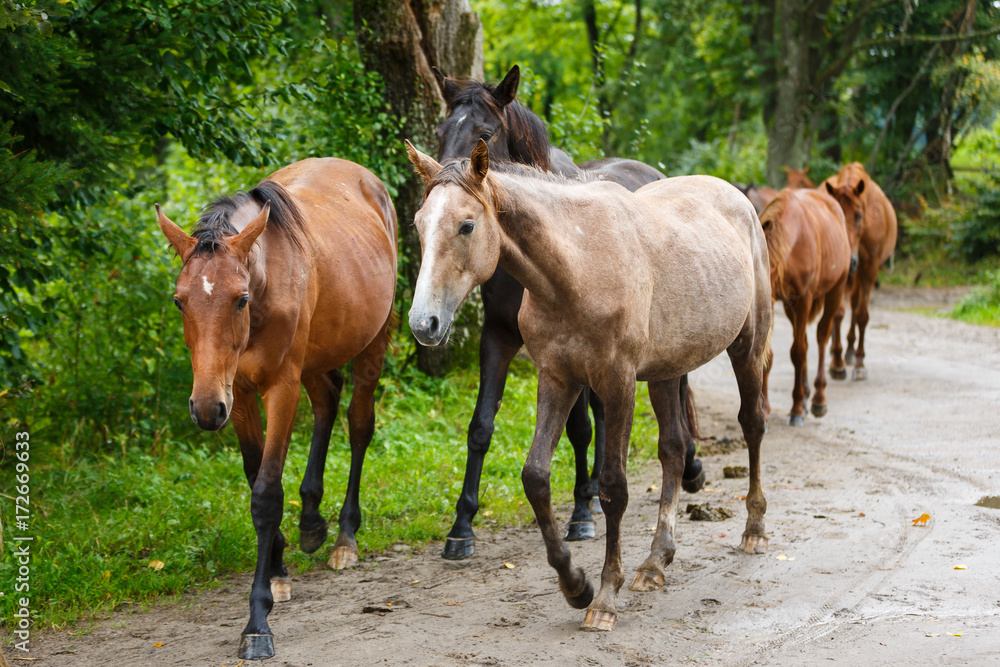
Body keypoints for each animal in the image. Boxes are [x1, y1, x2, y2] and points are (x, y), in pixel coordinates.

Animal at [154, 158, 396, 664]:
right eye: (179, 301)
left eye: (240, 299)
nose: (204, 409)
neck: (265, 286)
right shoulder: (239, 394)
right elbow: (254, 475)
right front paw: (279, 567)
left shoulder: (279, 388)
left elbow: (266, 493)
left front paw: (257, 620)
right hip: (315, 357)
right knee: (326, 400)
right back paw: (311, 522)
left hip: (371, 343)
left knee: (358, 424)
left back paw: (345, 537)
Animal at [402, 140, 768, 632]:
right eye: (420, 224)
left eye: (466, 225)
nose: (424, 324)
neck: (577, 266)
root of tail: (736, 197)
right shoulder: (558, 378)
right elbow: (535, 477)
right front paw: (575, 584)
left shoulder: (617, 383)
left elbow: (613, 487)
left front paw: (605, 597)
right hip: (667, 371)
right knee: (673, 449)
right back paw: (655, 561)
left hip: (747, 347)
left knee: (752, 425)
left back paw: (753, 529)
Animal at [430, 65, 704, 560]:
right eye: (440, 132)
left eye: (485, 134)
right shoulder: (498, 336)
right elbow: (481, 426)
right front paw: (462, 526)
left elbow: (578, 429)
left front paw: (579, 513)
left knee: (676, 385)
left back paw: (686, 466)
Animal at [760, 188, 848, 428]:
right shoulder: (777, 301)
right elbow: (769, 355)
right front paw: (765, 410)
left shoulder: (804, 300)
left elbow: (797, 353)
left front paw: (797, 408)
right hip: (791, 308)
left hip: (835, 290)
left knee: (821, 337)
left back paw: (818, 398)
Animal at [820, 162, 900, 380]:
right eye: (836, 216)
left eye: (858, 216)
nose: (851, 261)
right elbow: (838, 313)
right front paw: (837, 363)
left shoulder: (870, 270)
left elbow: (862, 315)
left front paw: (859, 364)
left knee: (856, 305)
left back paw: (850, 353)